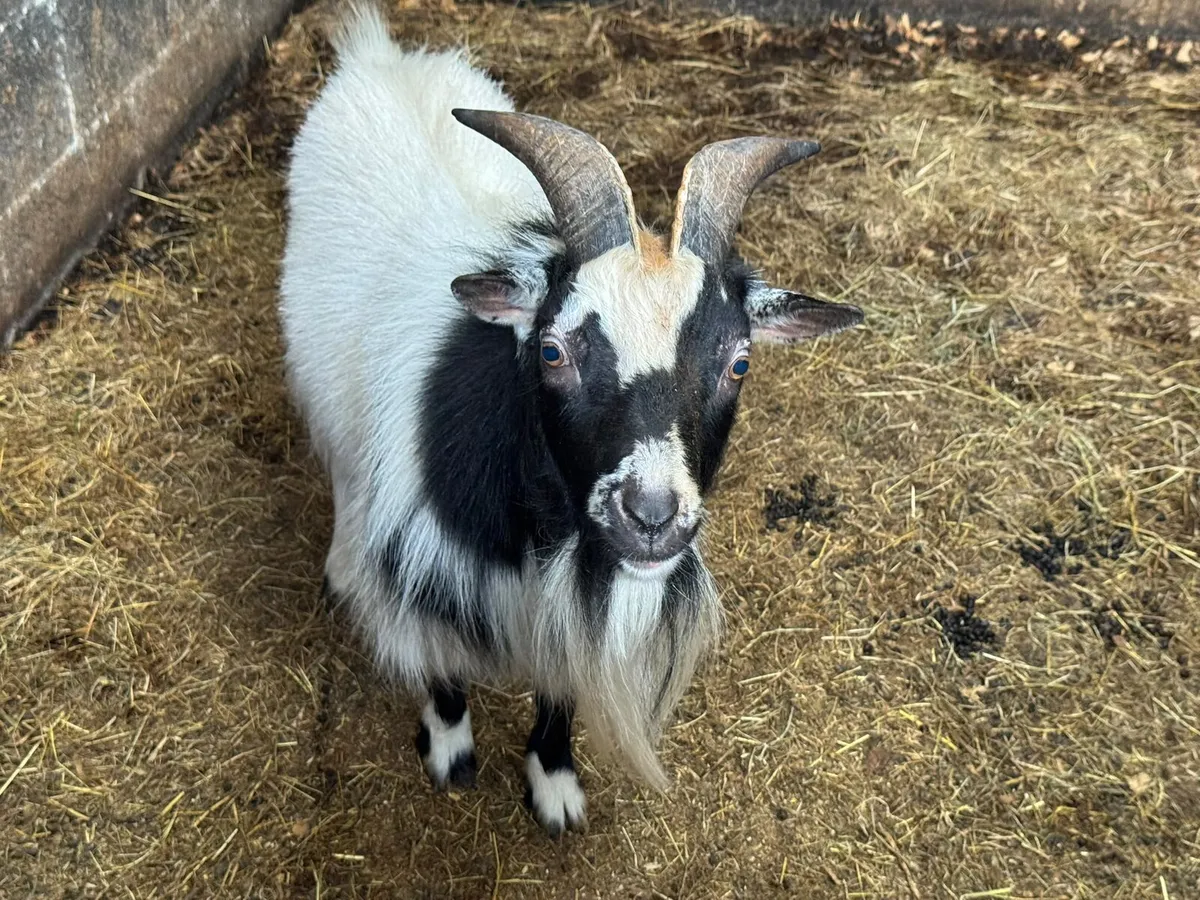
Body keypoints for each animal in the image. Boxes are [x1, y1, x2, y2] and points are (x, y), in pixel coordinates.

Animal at [279, 5, 863, 836]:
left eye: (740, 361)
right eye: (551, 350)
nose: (650, 516)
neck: (542, 534)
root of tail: (379, 56)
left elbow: (558, 694)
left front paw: (553, 783)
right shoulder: (429, 570)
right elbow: (443, 669)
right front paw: (449, 751)